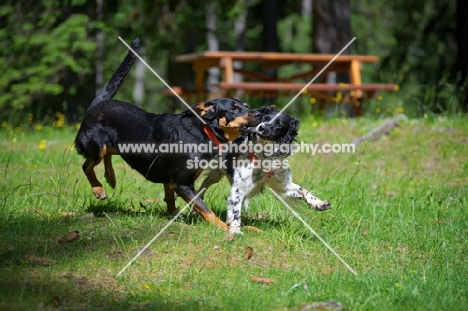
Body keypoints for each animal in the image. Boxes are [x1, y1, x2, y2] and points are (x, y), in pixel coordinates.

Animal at [77, 38, 260, 229]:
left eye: (246, 106)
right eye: (234, 109)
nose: (258, 113)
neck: (204, 131)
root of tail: (97, 104)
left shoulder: (171, 179)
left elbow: (171, 199)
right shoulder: (182, 183)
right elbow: (206, 210)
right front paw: (227, 228)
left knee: (106, 156)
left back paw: (111, 177)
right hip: (95, 145)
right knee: (87, 165)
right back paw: (98, 189)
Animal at [197, 107, 330, 234]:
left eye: (279, 125)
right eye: (264, 117)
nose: (262, 127)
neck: (264, 157)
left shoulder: (283, 186)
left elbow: (303, 190)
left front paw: (318, 203)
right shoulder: (238, 188)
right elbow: (236, 210)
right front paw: (235, 230)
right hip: (215, 174)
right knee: (203, 186)